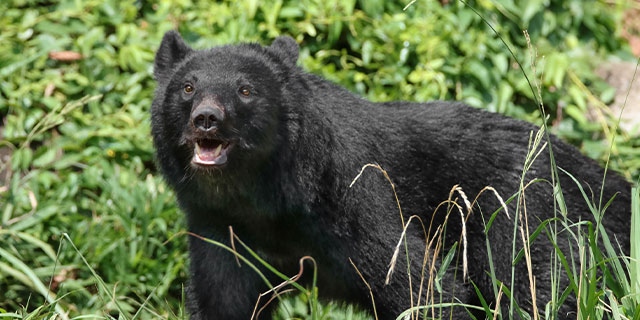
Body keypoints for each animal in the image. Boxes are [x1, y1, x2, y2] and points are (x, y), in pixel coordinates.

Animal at [152, 30, 632, 320]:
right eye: (188, 88)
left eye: (245, 90)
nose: (207, 119)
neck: (263, 197)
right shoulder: (220, 228)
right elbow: (223, 298)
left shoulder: (355, 196)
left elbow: (419, 286)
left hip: (529, 221)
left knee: (539, 290)